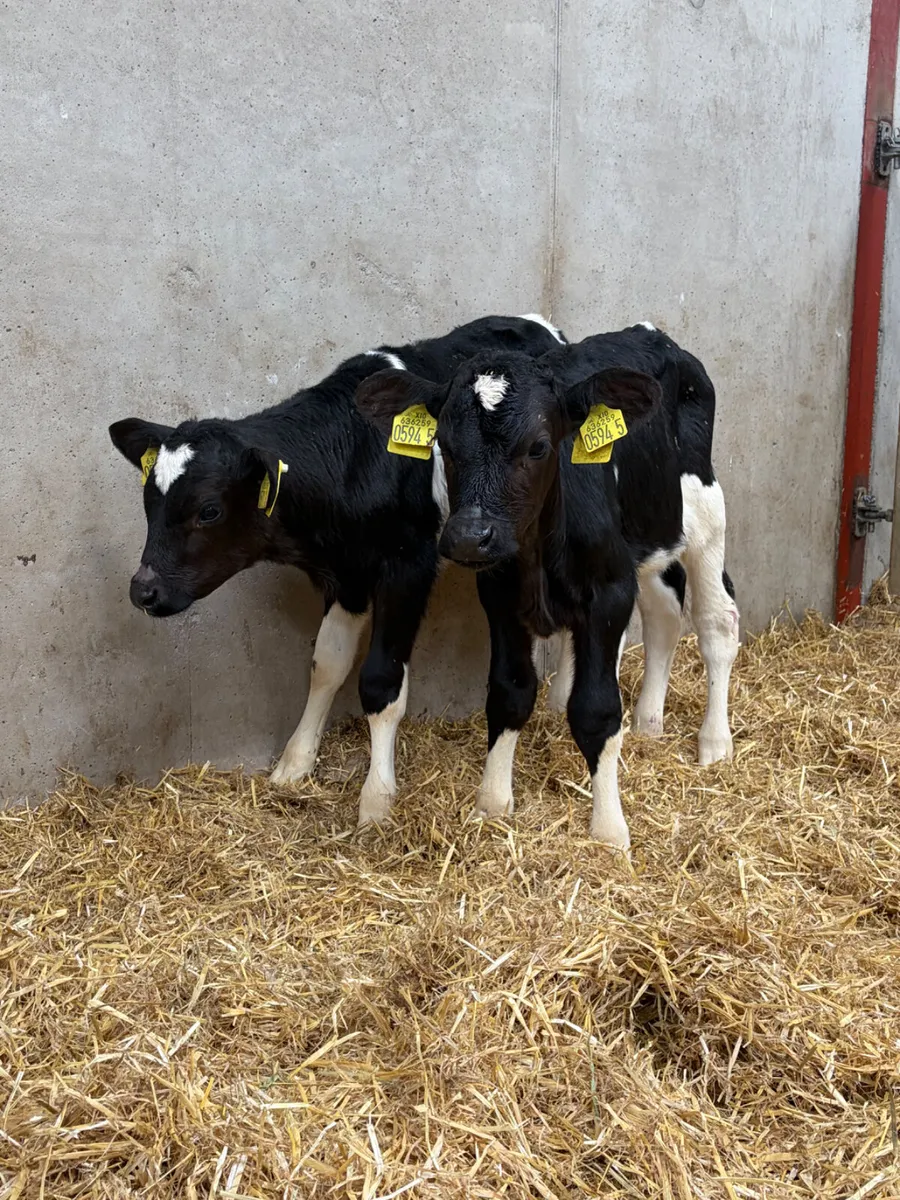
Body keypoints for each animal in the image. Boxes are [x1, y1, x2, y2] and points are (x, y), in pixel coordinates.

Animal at [108, 313, 566, 825]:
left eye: (208, 510)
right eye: (149, 501)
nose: (143, 590)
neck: (354, 453)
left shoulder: (407, 566)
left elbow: (381, 681)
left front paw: (376, 800)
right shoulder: (347, 575)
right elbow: (326, 663)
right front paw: (294, 763)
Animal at [355, 323, 739, 850]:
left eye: (538, 446)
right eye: (444, 446)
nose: (469, 535)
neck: (539, 553)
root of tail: (651, 333)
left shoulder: (609, 591)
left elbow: (596, 709)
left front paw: (609, 831)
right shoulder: (499, 595)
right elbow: (510, 692)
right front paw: (493, 802)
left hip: (704, 512)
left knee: (716, 623)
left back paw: (715, 743)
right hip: (648, 539)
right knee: (664, 614)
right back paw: (649, 723)